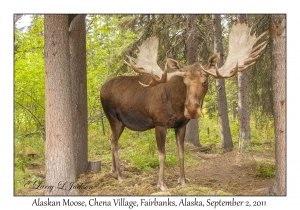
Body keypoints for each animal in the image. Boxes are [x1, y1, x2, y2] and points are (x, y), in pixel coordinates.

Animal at [100, 22, 264, 190]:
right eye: (185, 82)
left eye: (204, 81)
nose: (191, 110)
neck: (177, 104)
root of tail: (101, 89)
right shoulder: (159, 123)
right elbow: (162, 154)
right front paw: (162, 184)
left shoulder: (181, 125)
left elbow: (181, 153)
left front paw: (183, 180)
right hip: (113, 117)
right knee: (114, 141)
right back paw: (120, 176)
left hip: (119, 122)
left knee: (110, 138)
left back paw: (114, 171)